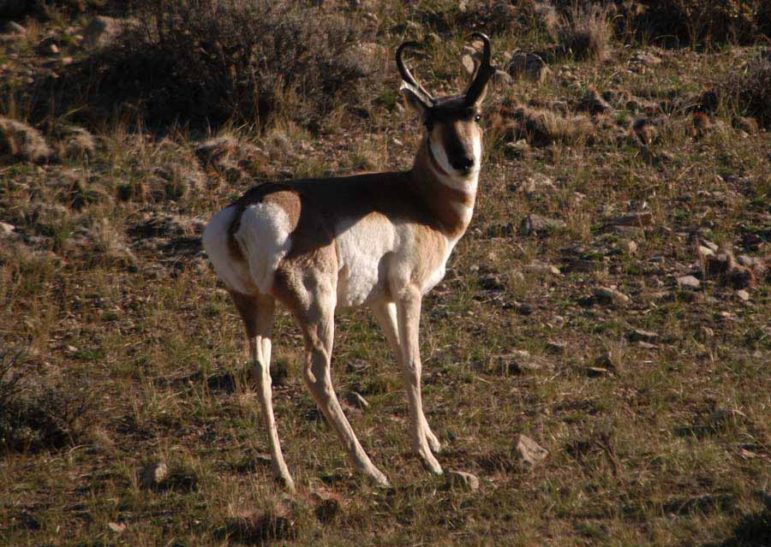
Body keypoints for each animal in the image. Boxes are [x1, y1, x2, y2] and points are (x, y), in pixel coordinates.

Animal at [202, 32, 498, 490]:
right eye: (428, 122)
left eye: (477, 115)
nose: (464, 161)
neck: (417, 197)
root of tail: (243, 211)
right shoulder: (409, 293)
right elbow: (413, 363)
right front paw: (428, 458)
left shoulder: (382, 302)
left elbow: (397, 354)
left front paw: (431, 439)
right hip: (316, 309)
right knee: (315, 374)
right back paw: (371, 470)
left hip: (255, 305)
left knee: (260, 370)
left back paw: (284, 474)